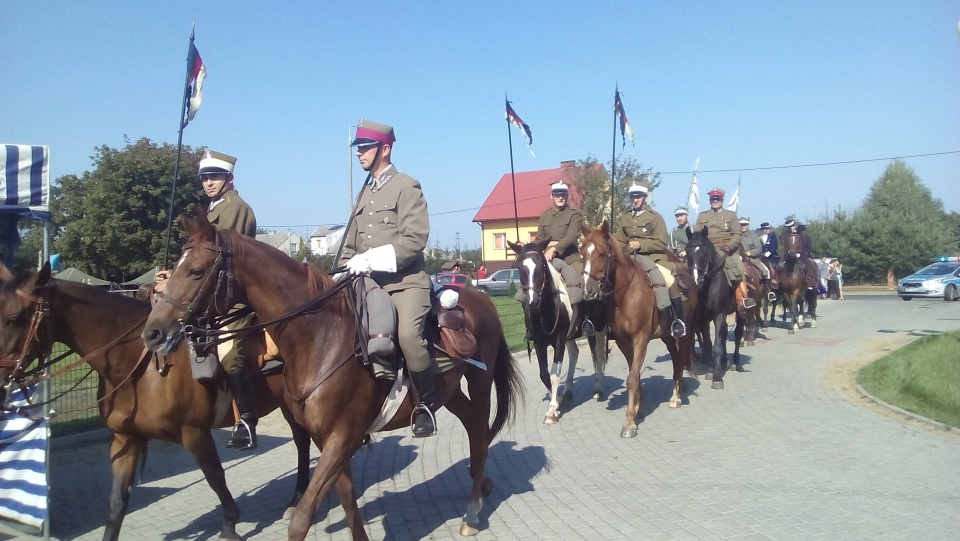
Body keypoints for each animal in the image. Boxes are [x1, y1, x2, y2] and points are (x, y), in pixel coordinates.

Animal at [0, 264, 312, 540]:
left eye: (13, 318)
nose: (2, 381)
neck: (142, 366)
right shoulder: (125, 440)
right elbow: (116, 504)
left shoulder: (195, 434)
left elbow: (215, 477)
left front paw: (230, 525)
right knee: (301, 443)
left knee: (302, 443)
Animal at [139, 212, 520, 540]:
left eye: (196, 271)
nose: (153, 333)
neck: (321, 337)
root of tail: (480, 300)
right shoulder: (328, 439)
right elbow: (348, 499)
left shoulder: (342, 436)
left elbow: (304, 516)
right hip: (447, 391)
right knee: (472, 426)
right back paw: (480, 486)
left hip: (480, 382)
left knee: (480, 430)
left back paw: (472, 512)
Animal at [572, 221, 692, 436]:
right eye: (582, 253)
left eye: (602, 254)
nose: (587, 290)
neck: (626, 294)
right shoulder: (623, 341)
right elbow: (634, 374)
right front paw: (639, 409)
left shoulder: (640, 340)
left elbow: (632, 378)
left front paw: (629, 422)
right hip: (667, 336)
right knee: (676, 358)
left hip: (684, 334)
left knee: (681, 357)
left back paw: (676, 397)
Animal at [684, 227, 752, 388]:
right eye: (688, 253)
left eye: (704, 254)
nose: (696, 281)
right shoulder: (703, 318)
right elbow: (709, 344)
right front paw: (710, 370)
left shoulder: (719, 314)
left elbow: (716, 347)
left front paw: (717, 377)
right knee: (724, 333)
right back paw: (724, 361)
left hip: (740, 312)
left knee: (738, 333)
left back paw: (735, 362)